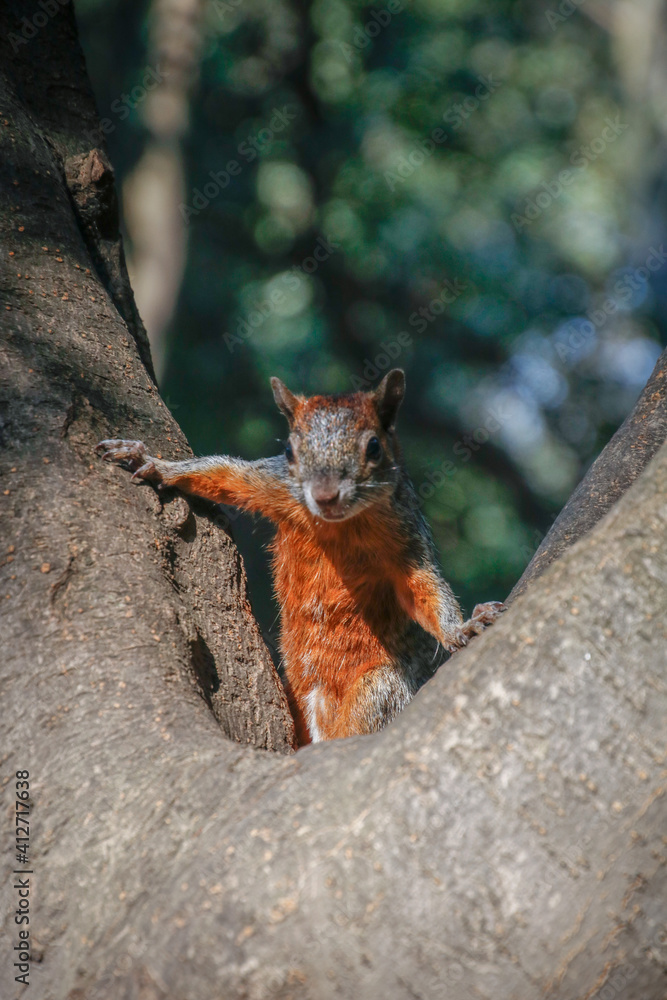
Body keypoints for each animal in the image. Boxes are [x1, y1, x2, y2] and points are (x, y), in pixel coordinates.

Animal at [96, 369, 505, 744]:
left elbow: (424, 587)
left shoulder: (406, 535)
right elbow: (224, 473)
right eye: (290, 450)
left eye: (374, 447)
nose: (325, 496)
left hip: (381, 688)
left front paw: (462, 628)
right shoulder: (273, 484)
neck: (334, 527)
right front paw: (152, 462)